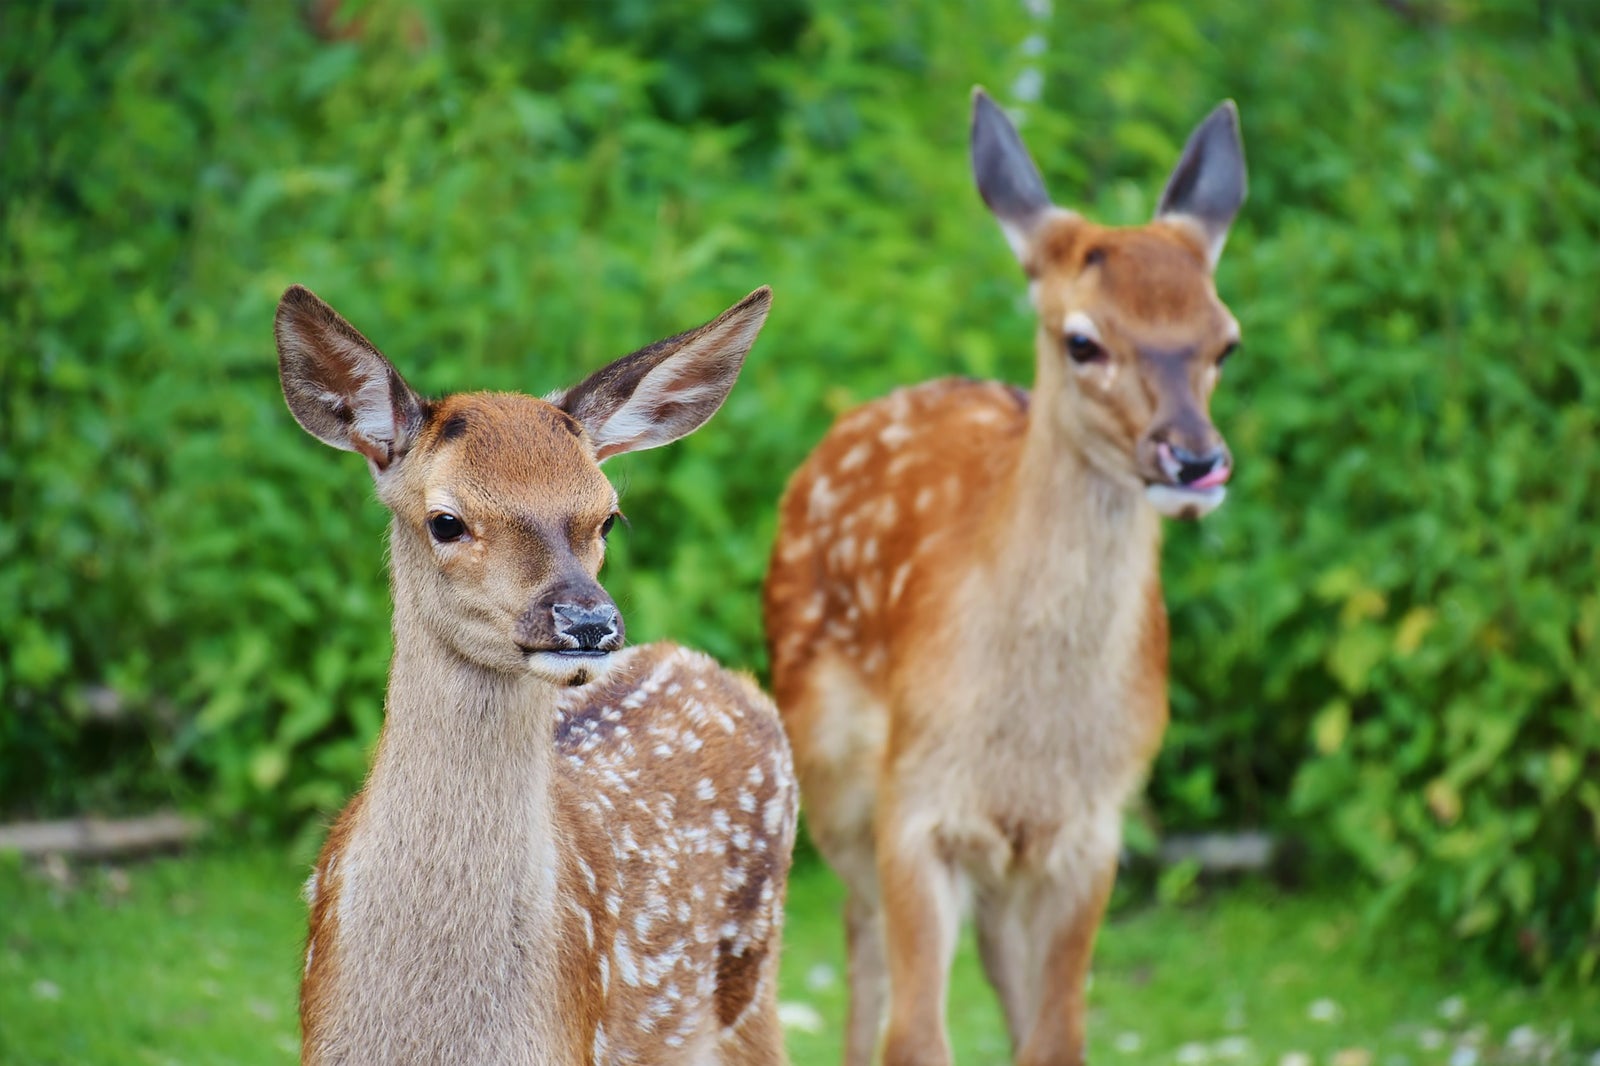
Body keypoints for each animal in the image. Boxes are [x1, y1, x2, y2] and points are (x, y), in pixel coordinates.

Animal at [280, 281, 800, 1062]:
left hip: (752, 984)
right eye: (446, 521)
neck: (430, 1038)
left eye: (609, 516)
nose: (589, 622)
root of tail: (704, 663)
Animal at [761, 93, 1248, 1062]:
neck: (1029, 741)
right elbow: (915, 1034)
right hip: (831, 773)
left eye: (1225, 342)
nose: (1194, 459)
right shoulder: (916, 805)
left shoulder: (1091, 828)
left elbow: (1058, 1034)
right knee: (863, 950)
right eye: (1083, 340)